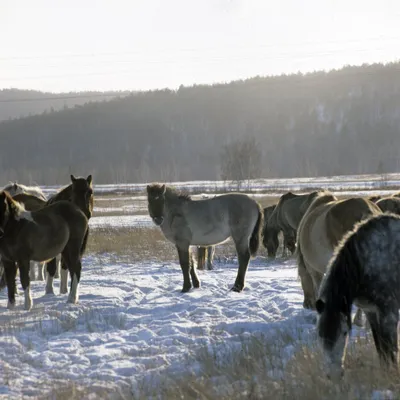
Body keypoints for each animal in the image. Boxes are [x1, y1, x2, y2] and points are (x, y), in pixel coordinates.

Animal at [318, 214, 400, 380]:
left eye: (344, 332)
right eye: (320, 335)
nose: (334, 375)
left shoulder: (389, 312)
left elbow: (391, 348)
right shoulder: (371, 311)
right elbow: (381, 347)